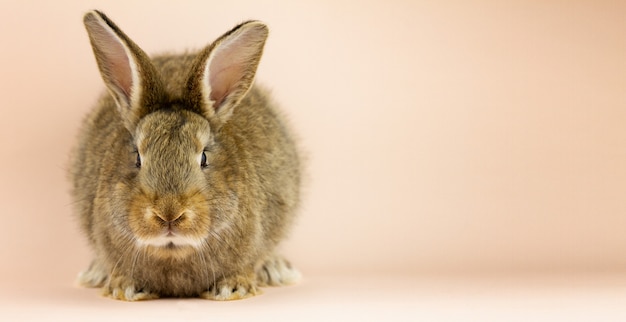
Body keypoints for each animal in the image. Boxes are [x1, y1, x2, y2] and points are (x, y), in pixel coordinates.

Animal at [68, 10, 302, 302]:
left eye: (203, 158)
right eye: (137, 158)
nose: (169, 214)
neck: (174, 250)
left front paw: (232, 287)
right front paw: (125, 287)